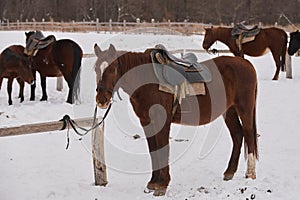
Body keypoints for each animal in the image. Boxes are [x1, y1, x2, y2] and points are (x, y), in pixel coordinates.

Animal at [95, 44, 258, 196]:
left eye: (112, 69)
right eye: (96, 69)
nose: (101, 100)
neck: (147, 80)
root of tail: (246, 64)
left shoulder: (162, 121)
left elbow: (162, 149)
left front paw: (162, 185)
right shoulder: (146, 122)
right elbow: (153, 150)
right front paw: (153, 182)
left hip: (244, 109)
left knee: (248, 134)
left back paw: (250, 173)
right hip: (229, 111)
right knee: (238, 135)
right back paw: (229, 172)